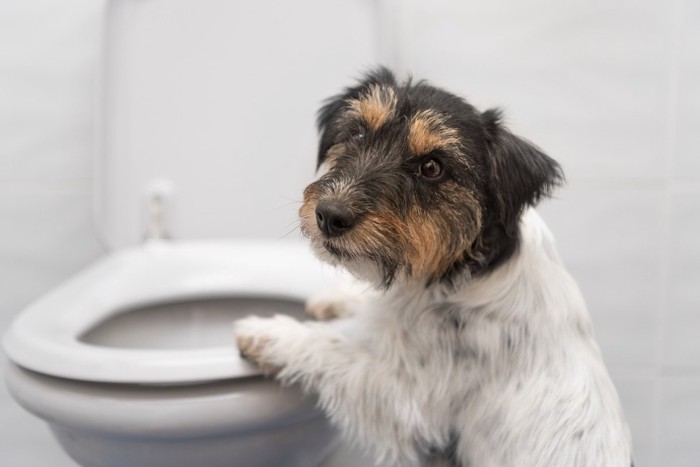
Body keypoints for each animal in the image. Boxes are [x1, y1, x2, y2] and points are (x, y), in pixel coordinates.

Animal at [235, 68, 636, 467]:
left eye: (431, 167)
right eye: (359, 133)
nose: (329, 216)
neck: (466, 268)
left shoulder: (403, 396)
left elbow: (332, 345)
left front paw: (269, 332)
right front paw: (336, 298)